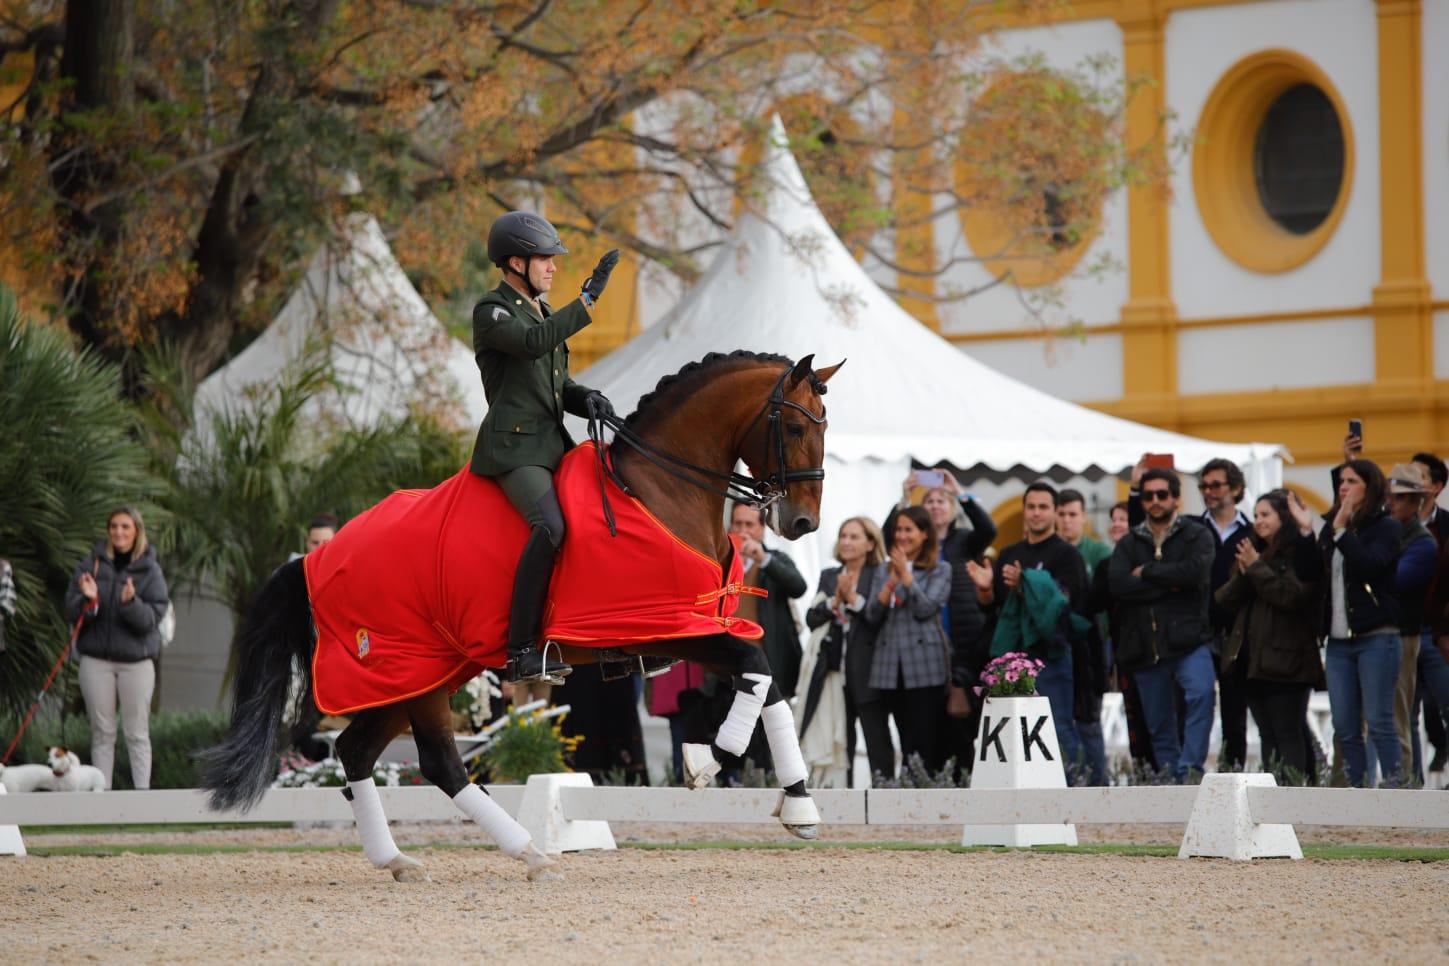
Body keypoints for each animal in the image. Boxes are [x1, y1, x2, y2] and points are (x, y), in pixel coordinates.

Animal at [198, 349, 846, 886]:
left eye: (825, 425)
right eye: (794, 426)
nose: (802, 524)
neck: (660, 489)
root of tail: (316, 556)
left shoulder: (702, 629)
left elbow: (768, 683)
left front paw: (799, 805)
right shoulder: (667, 626)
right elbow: (757, 669)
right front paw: (703, 762)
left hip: (420, 676)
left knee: (362, 751)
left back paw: (403, 860)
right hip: (407, 671)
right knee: (435, 762)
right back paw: (530, 853)